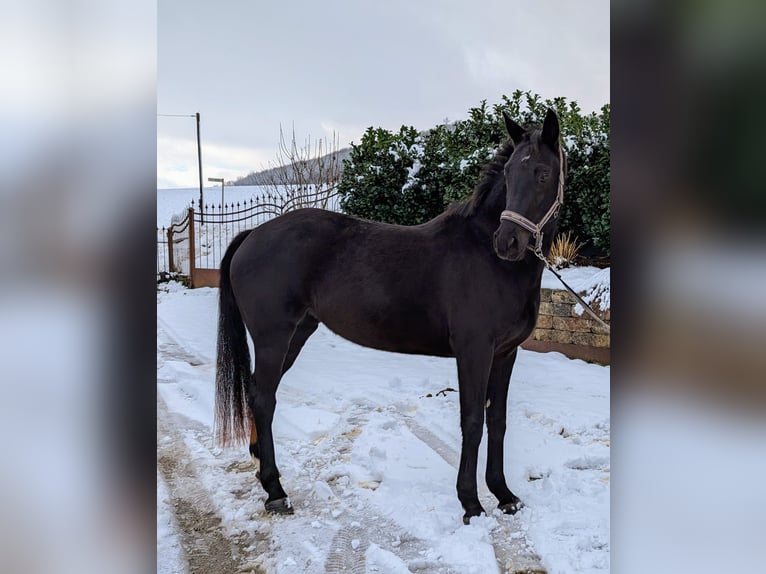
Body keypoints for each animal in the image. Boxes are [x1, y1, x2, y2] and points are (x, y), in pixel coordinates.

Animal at [213, 109, 568, 528]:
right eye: (511, 173)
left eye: (543, 173)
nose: (507, 242)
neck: (488, 258)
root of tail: (252, 234)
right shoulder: (474, 352)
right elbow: (472, 422)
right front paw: (471, 503)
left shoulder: (505, 354)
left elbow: (497, 422)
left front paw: (504, 494)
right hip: (273, 338)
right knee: (264, 398)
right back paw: (275, 490)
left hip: (297, 334)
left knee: (258, 394)